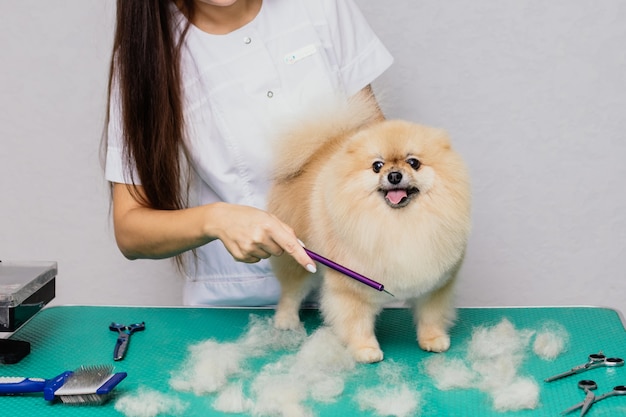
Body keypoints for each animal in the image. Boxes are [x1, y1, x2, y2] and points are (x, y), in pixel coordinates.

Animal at [266, 90, 468, 360]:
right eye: (377, 166)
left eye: (413, 162)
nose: (394, 175)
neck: (400, 223)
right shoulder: (351, 287)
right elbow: (356, 322)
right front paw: (365, 350)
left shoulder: (435, 284)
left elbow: (431, 315)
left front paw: (433, 339)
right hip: (297, 257)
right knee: (291, 292)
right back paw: (286, 320)